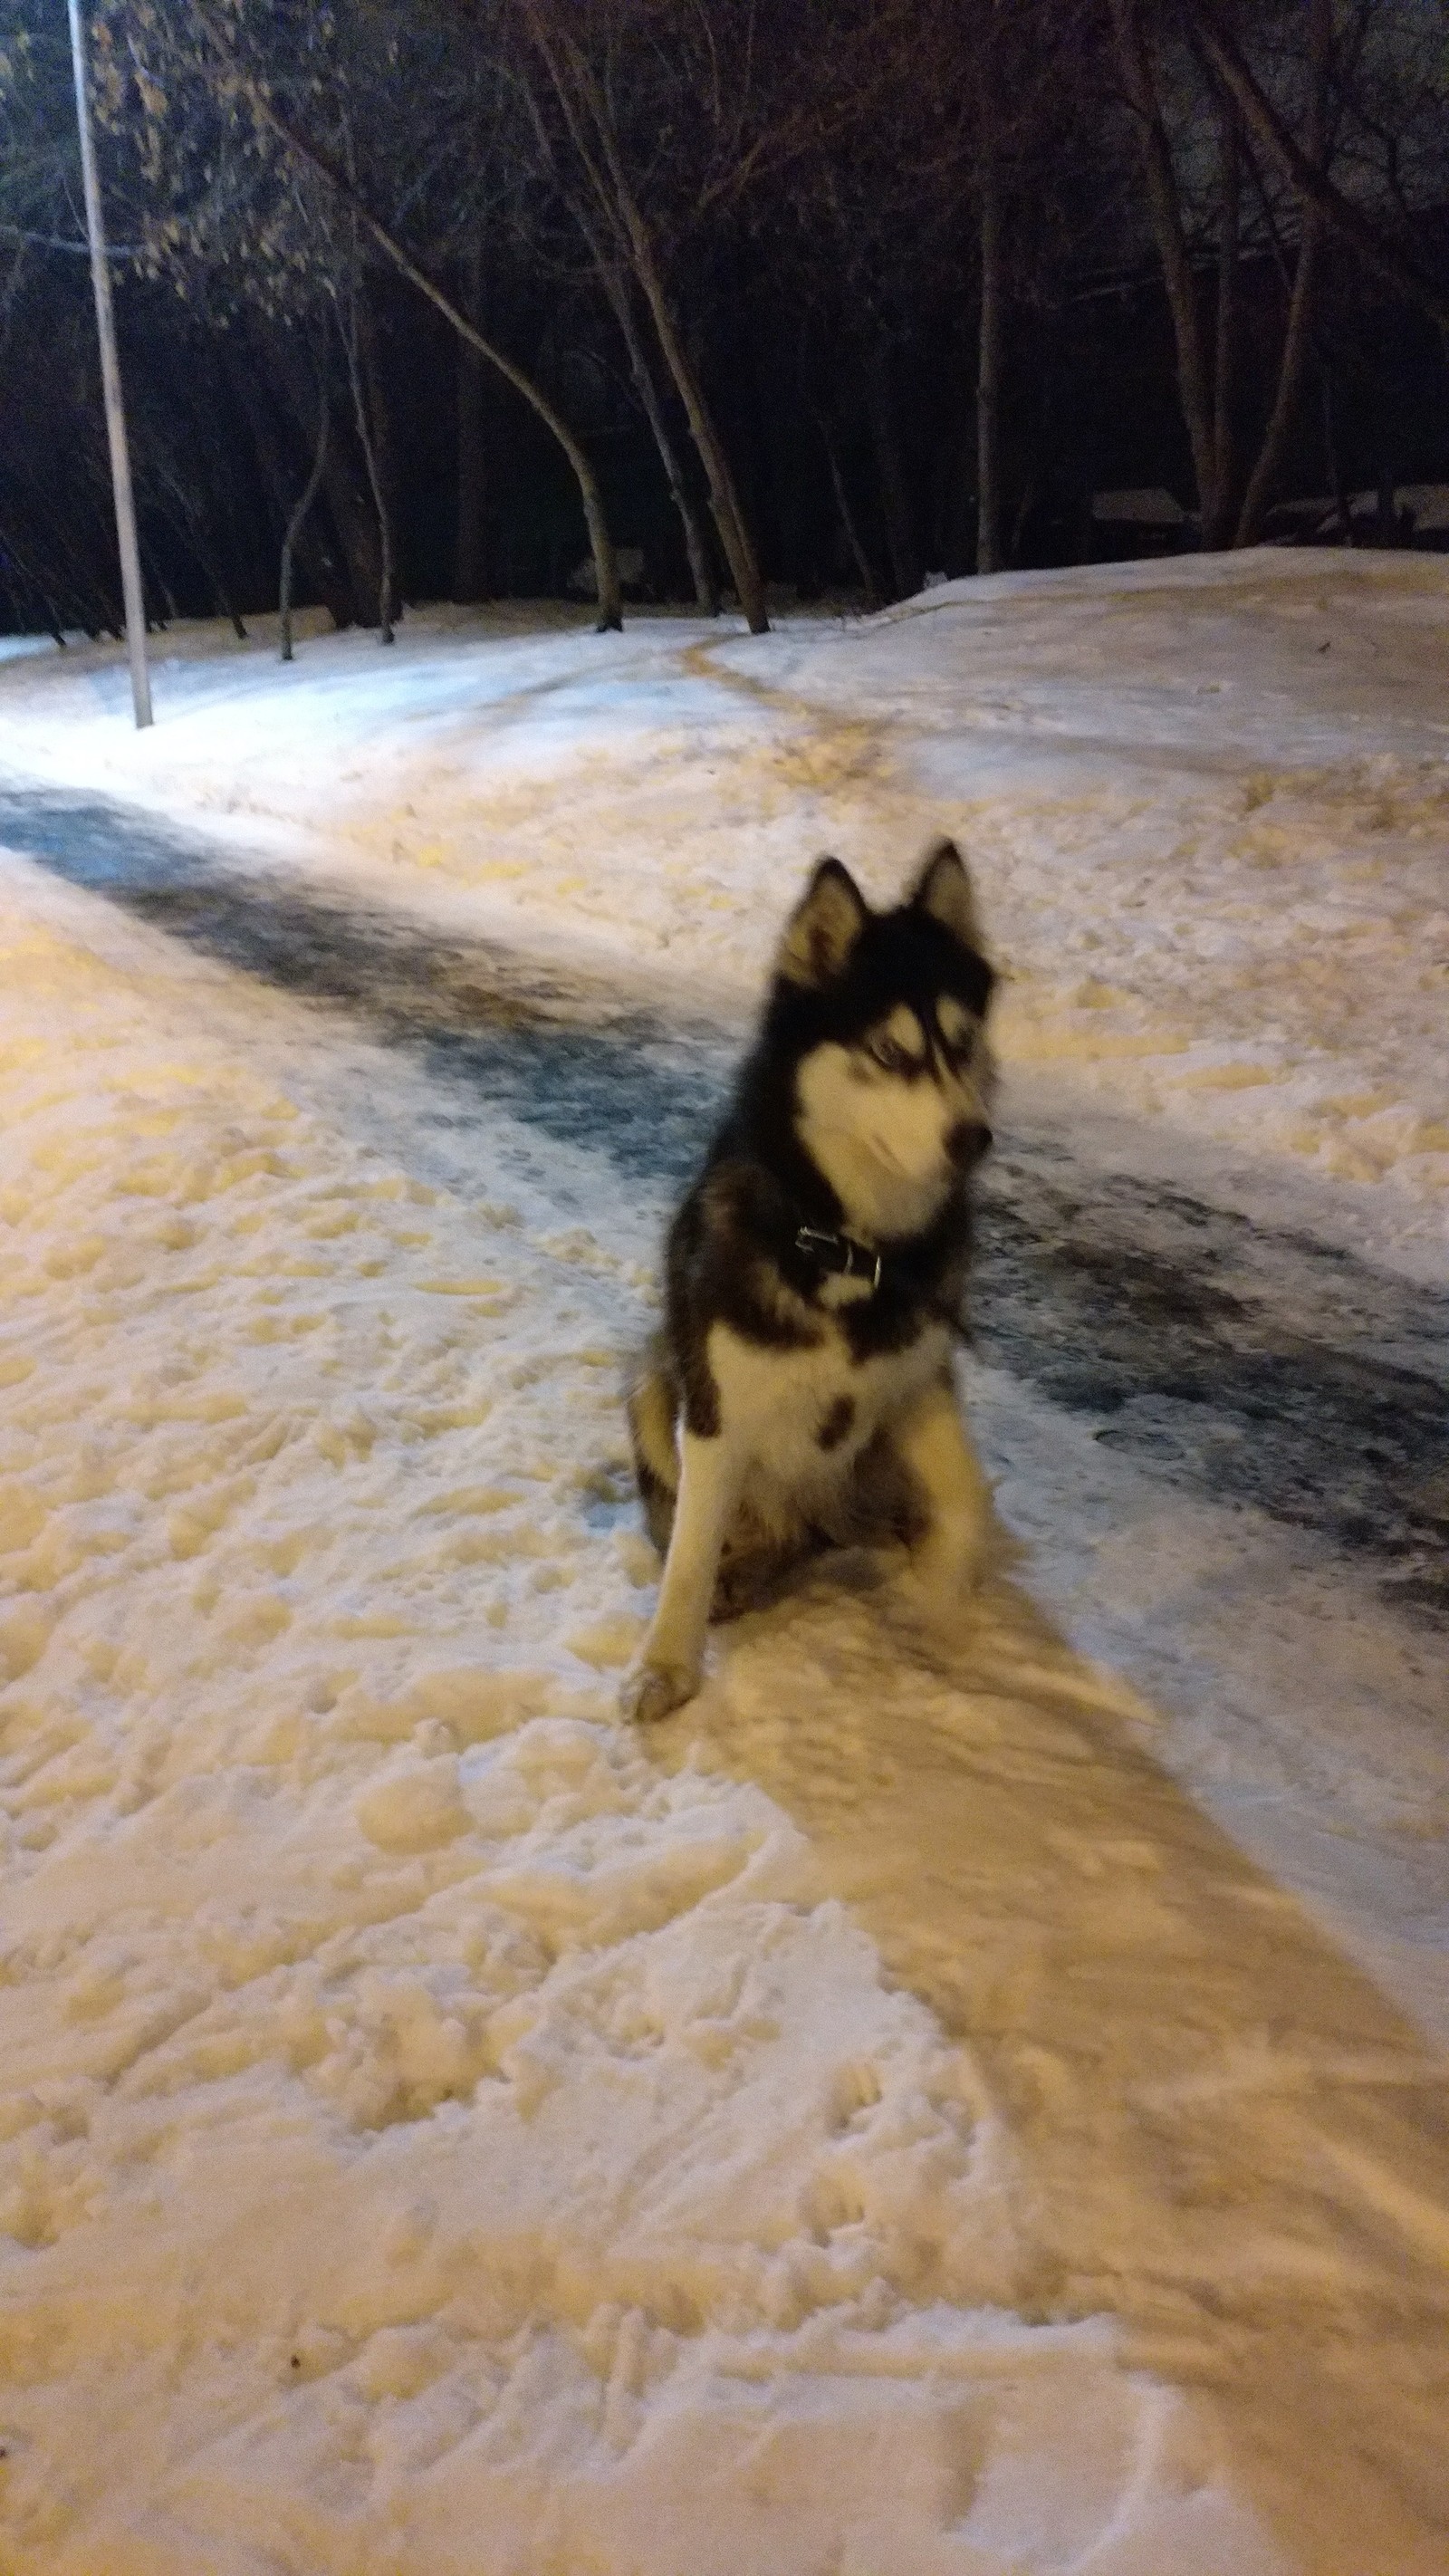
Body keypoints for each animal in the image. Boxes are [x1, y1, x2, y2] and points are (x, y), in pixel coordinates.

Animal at [622, 844, 998, 1731]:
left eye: (964, 1044)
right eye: (891, 1053)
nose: (974, 1139)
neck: (851, 1249)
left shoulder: (917, 1384)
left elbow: (966, 1498)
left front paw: (942, 1607)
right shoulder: (716, 1413)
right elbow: (688, 1552)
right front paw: (667, 1666)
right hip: (656, 1376)